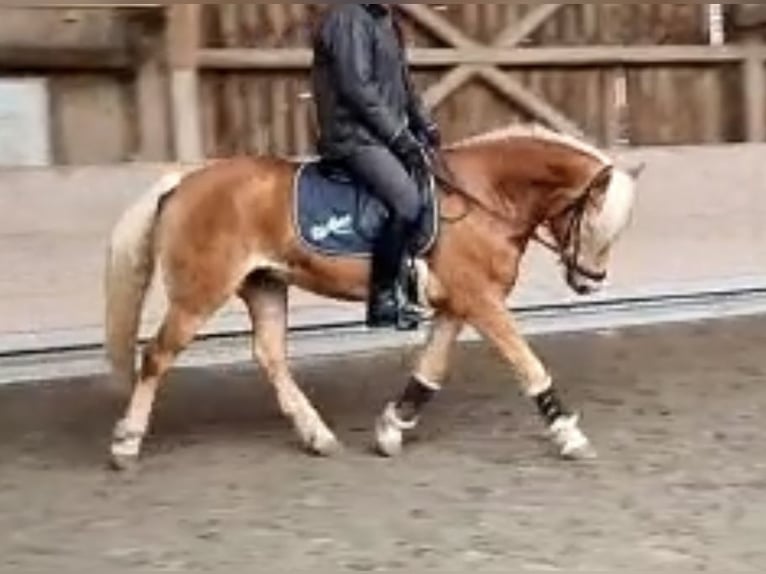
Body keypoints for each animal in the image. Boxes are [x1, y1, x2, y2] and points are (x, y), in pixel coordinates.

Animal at [103, 124, 640, 470]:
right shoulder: (482, 300)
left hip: (266, 284)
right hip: (199, 294)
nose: (590, 281)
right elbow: (529, 365)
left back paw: (319, 437)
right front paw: (570, 436)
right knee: (157, 357)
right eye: (593, 221)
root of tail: (183, 181)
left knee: (270, 356)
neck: (484, 197)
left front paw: (391, 428)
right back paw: (126, 445)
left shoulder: (459, 304)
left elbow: (431, 369)